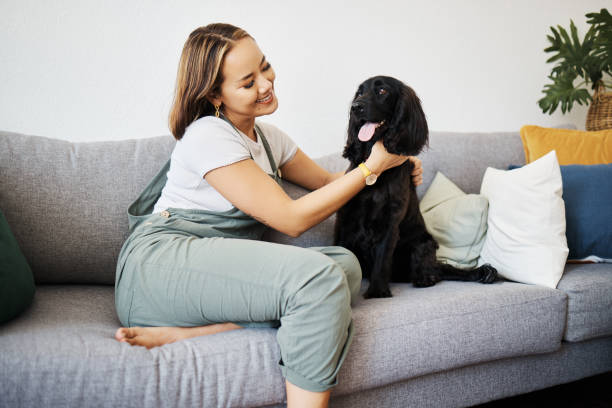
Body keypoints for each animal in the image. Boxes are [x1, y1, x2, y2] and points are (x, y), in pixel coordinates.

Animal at [334, 75, 498, 300]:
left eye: (382, 91)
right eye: (360, 92)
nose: (355, 107)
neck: (377, 174)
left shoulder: (390, 222)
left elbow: (382, 259)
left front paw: (377, 292)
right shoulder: (345, 219)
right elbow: (341, 250)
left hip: (424, 242)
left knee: (433, 270)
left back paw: (425, 278)